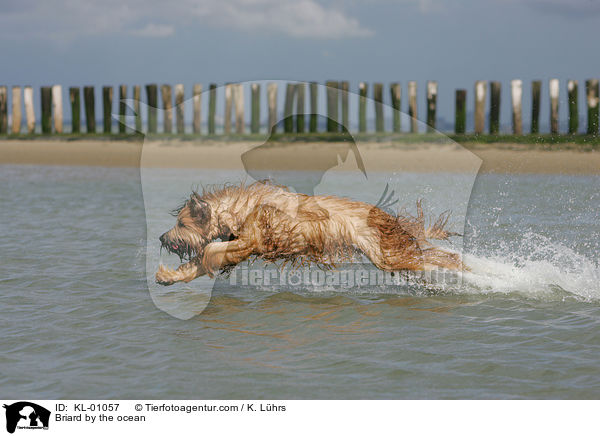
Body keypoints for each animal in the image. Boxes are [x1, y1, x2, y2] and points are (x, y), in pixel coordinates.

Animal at [156, 181, 464, 286]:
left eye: (181, 224)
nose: (161, 238)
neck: (238, 210)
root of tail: (385, 216)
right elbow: (197, 262)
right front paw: (167, 277)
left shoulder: (249, 241)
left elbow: (209, 252)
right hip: (391, 254)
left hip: (386, 254)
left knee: (440, 258)